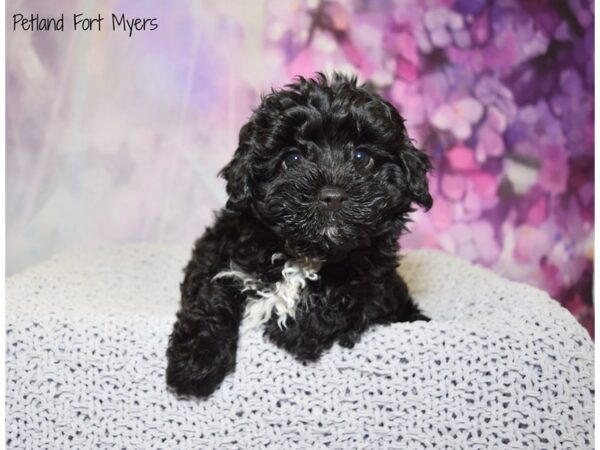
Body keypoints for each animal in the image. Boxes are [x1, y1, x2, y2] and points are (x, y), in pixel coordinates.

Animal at [166, 73, 434, 398]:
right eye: (292, 159)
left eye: (362, 157)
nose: (331, 196)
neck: (306, 251)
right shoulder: (215, 249)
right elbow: (209, 295)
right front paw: (195, 363)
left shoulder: (379, 283)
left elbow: (349, 294)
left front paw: (293, 330)